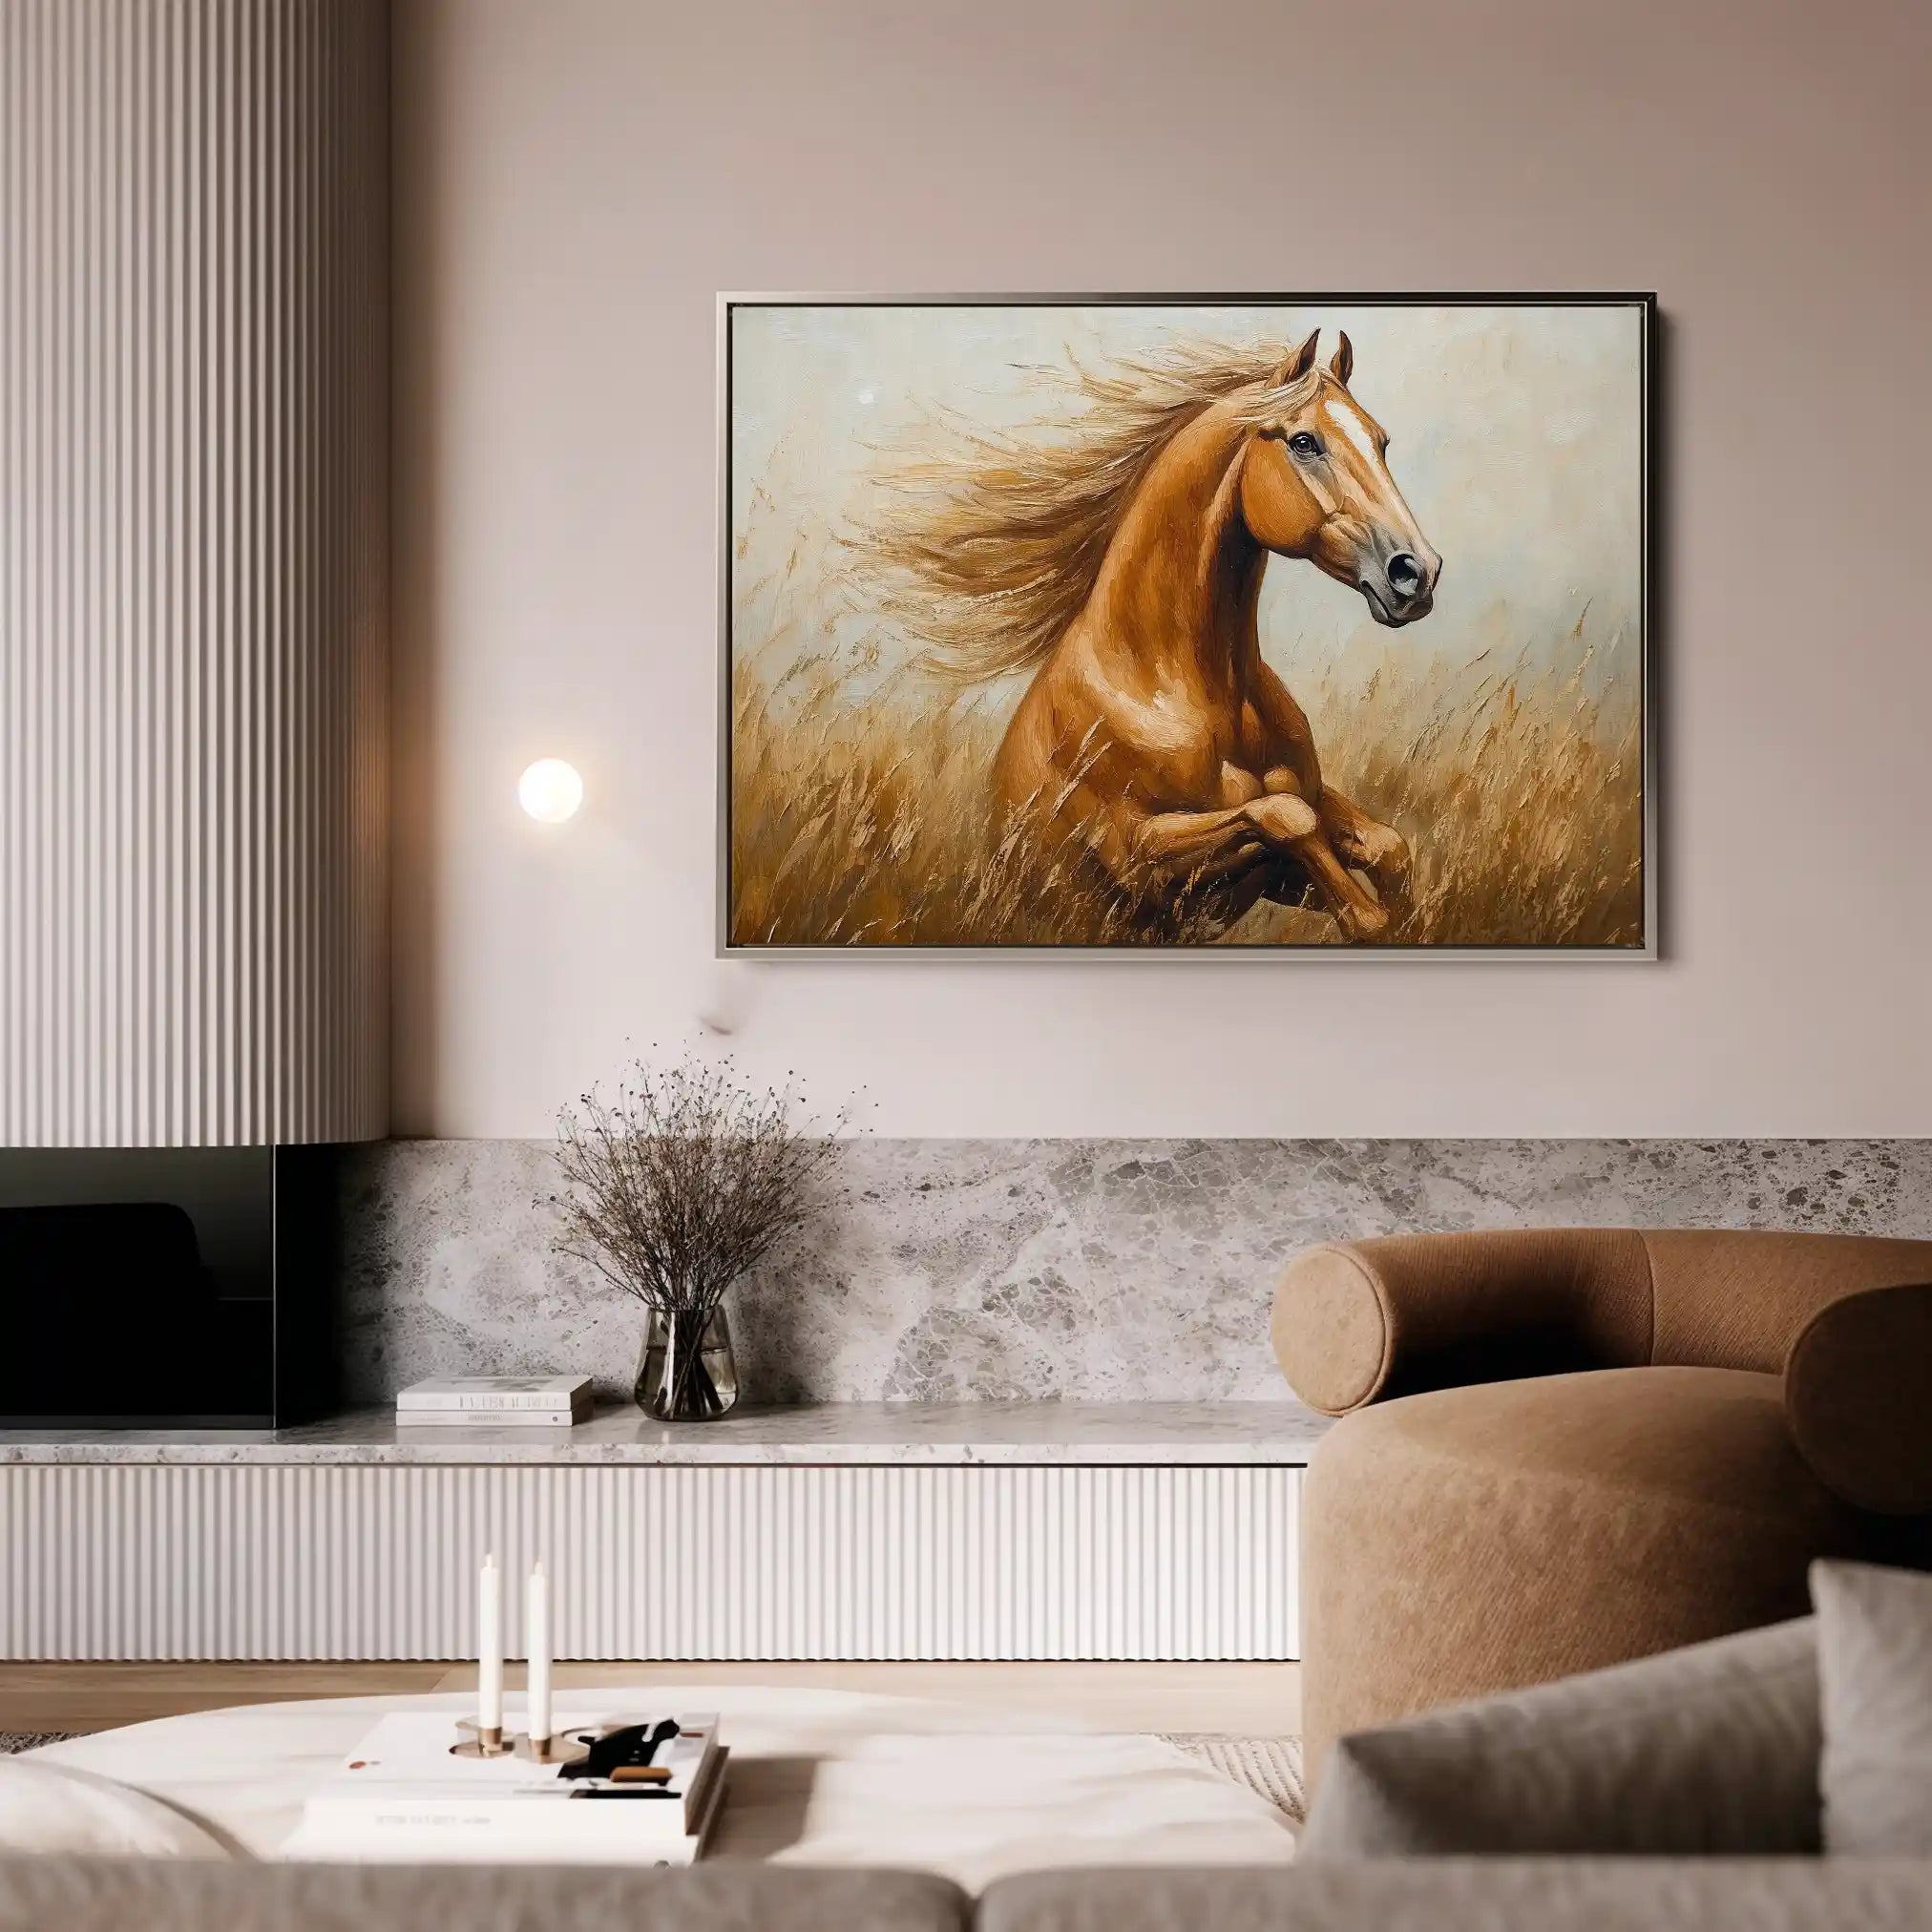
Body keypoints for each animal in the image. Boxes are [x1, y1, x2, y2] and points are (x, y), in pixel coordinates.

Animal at [867, 328, 1442, 942]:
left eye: (1381, 442)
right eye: (1305, 442)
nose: (1416, 572)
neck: (1175, 686)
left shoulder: (1281, 860)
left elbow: (1387, 847)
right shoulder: (1143, 858)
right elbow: (1286, 817)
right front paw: (1369, 916)